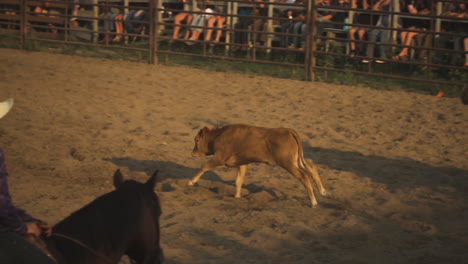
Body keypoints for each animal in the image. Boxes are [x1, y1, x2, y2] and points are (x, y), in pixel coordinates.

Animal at [188, 124, 328, 208]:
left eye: (196, 140)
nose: (192, 153)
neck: (218, 136)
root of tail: (288, 131)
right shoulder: (242, 163)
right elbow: (239, 180)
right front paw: (237, 197)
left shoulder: (220, 158)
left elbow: (205, 166)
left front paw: (191, 182)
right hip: (296, 160)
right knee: (311, 167)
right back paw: (322, 191)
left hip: (288, 163)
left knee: (304, 176)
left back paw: (313, 202)